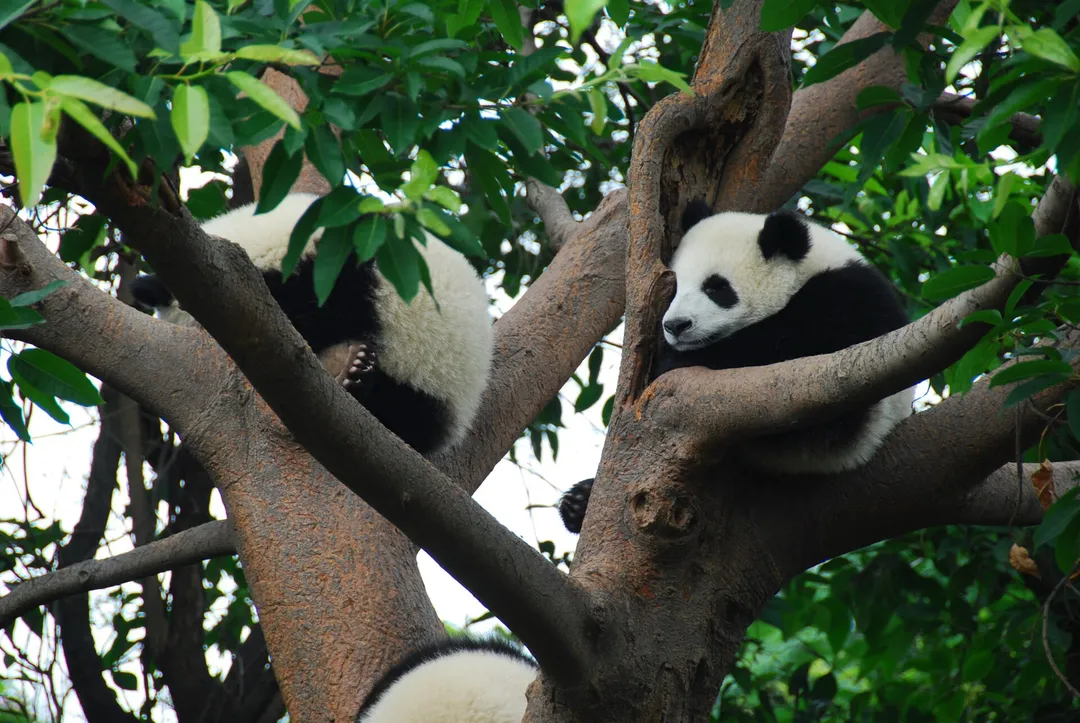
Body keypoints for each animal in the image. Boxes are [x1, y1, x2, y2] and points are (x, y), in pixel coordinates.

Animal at [559, 200, 913, 533]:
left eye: (716, 287)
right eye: (674, 287)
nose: (676, 326)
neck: (807, 271)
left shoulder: (850, 302)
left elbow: (791, 347)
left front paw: (667, 357)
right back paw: (578, 503)